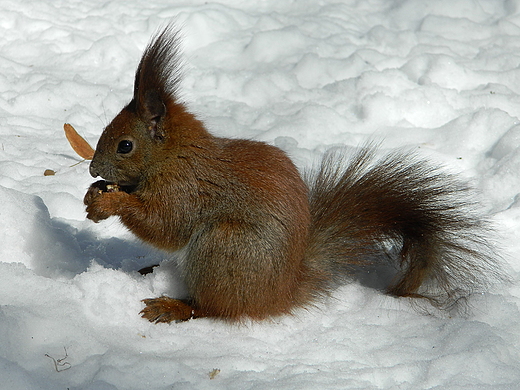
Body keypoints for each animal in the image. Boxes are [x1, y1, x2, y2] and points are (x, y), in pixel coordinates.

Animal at [84, 25, 504, 322]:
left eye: (125, 146)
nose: (91, 167)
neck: (173, 155)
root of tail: (282, 291)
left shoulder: (186, 188)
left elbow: (167, 225)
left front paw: (112, 202)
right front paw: (94, 195)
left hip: (224, 248)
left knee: (218, 308)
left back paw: (175, 306)